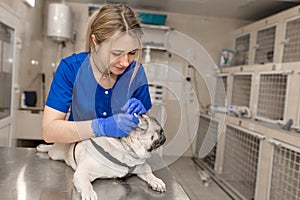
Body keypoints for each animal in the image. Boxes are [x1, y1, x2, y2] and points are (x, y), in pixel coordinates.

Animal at [36, 114, 166, 200]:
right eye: (160, 131)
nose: (164, 137)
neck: (125, 148)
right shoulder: (83, 172)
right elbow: (86, 184)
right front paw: (89, 193)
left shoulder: (142, 167)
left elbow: (149, 173)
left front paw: (156, 181)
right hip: (56, 153)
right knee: (50, 149)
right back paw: (42, 147)